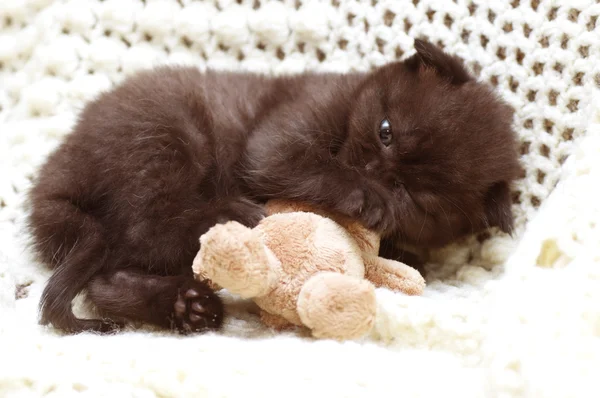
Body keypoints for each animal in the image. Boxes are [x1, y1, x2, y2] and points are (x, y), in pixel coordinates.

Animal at [27, 39, 520, 332]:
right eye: (385, 131)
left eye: (413, 196)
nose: (372, 173)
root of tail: (54, 179)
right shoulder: (282, 134)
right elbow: (303, 162)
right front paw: (363, 195)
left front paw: (399, 244)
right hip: (166, 137)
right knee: (143, 233)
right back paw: (234, 218)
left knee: (109, 275)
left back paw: (186, 305)